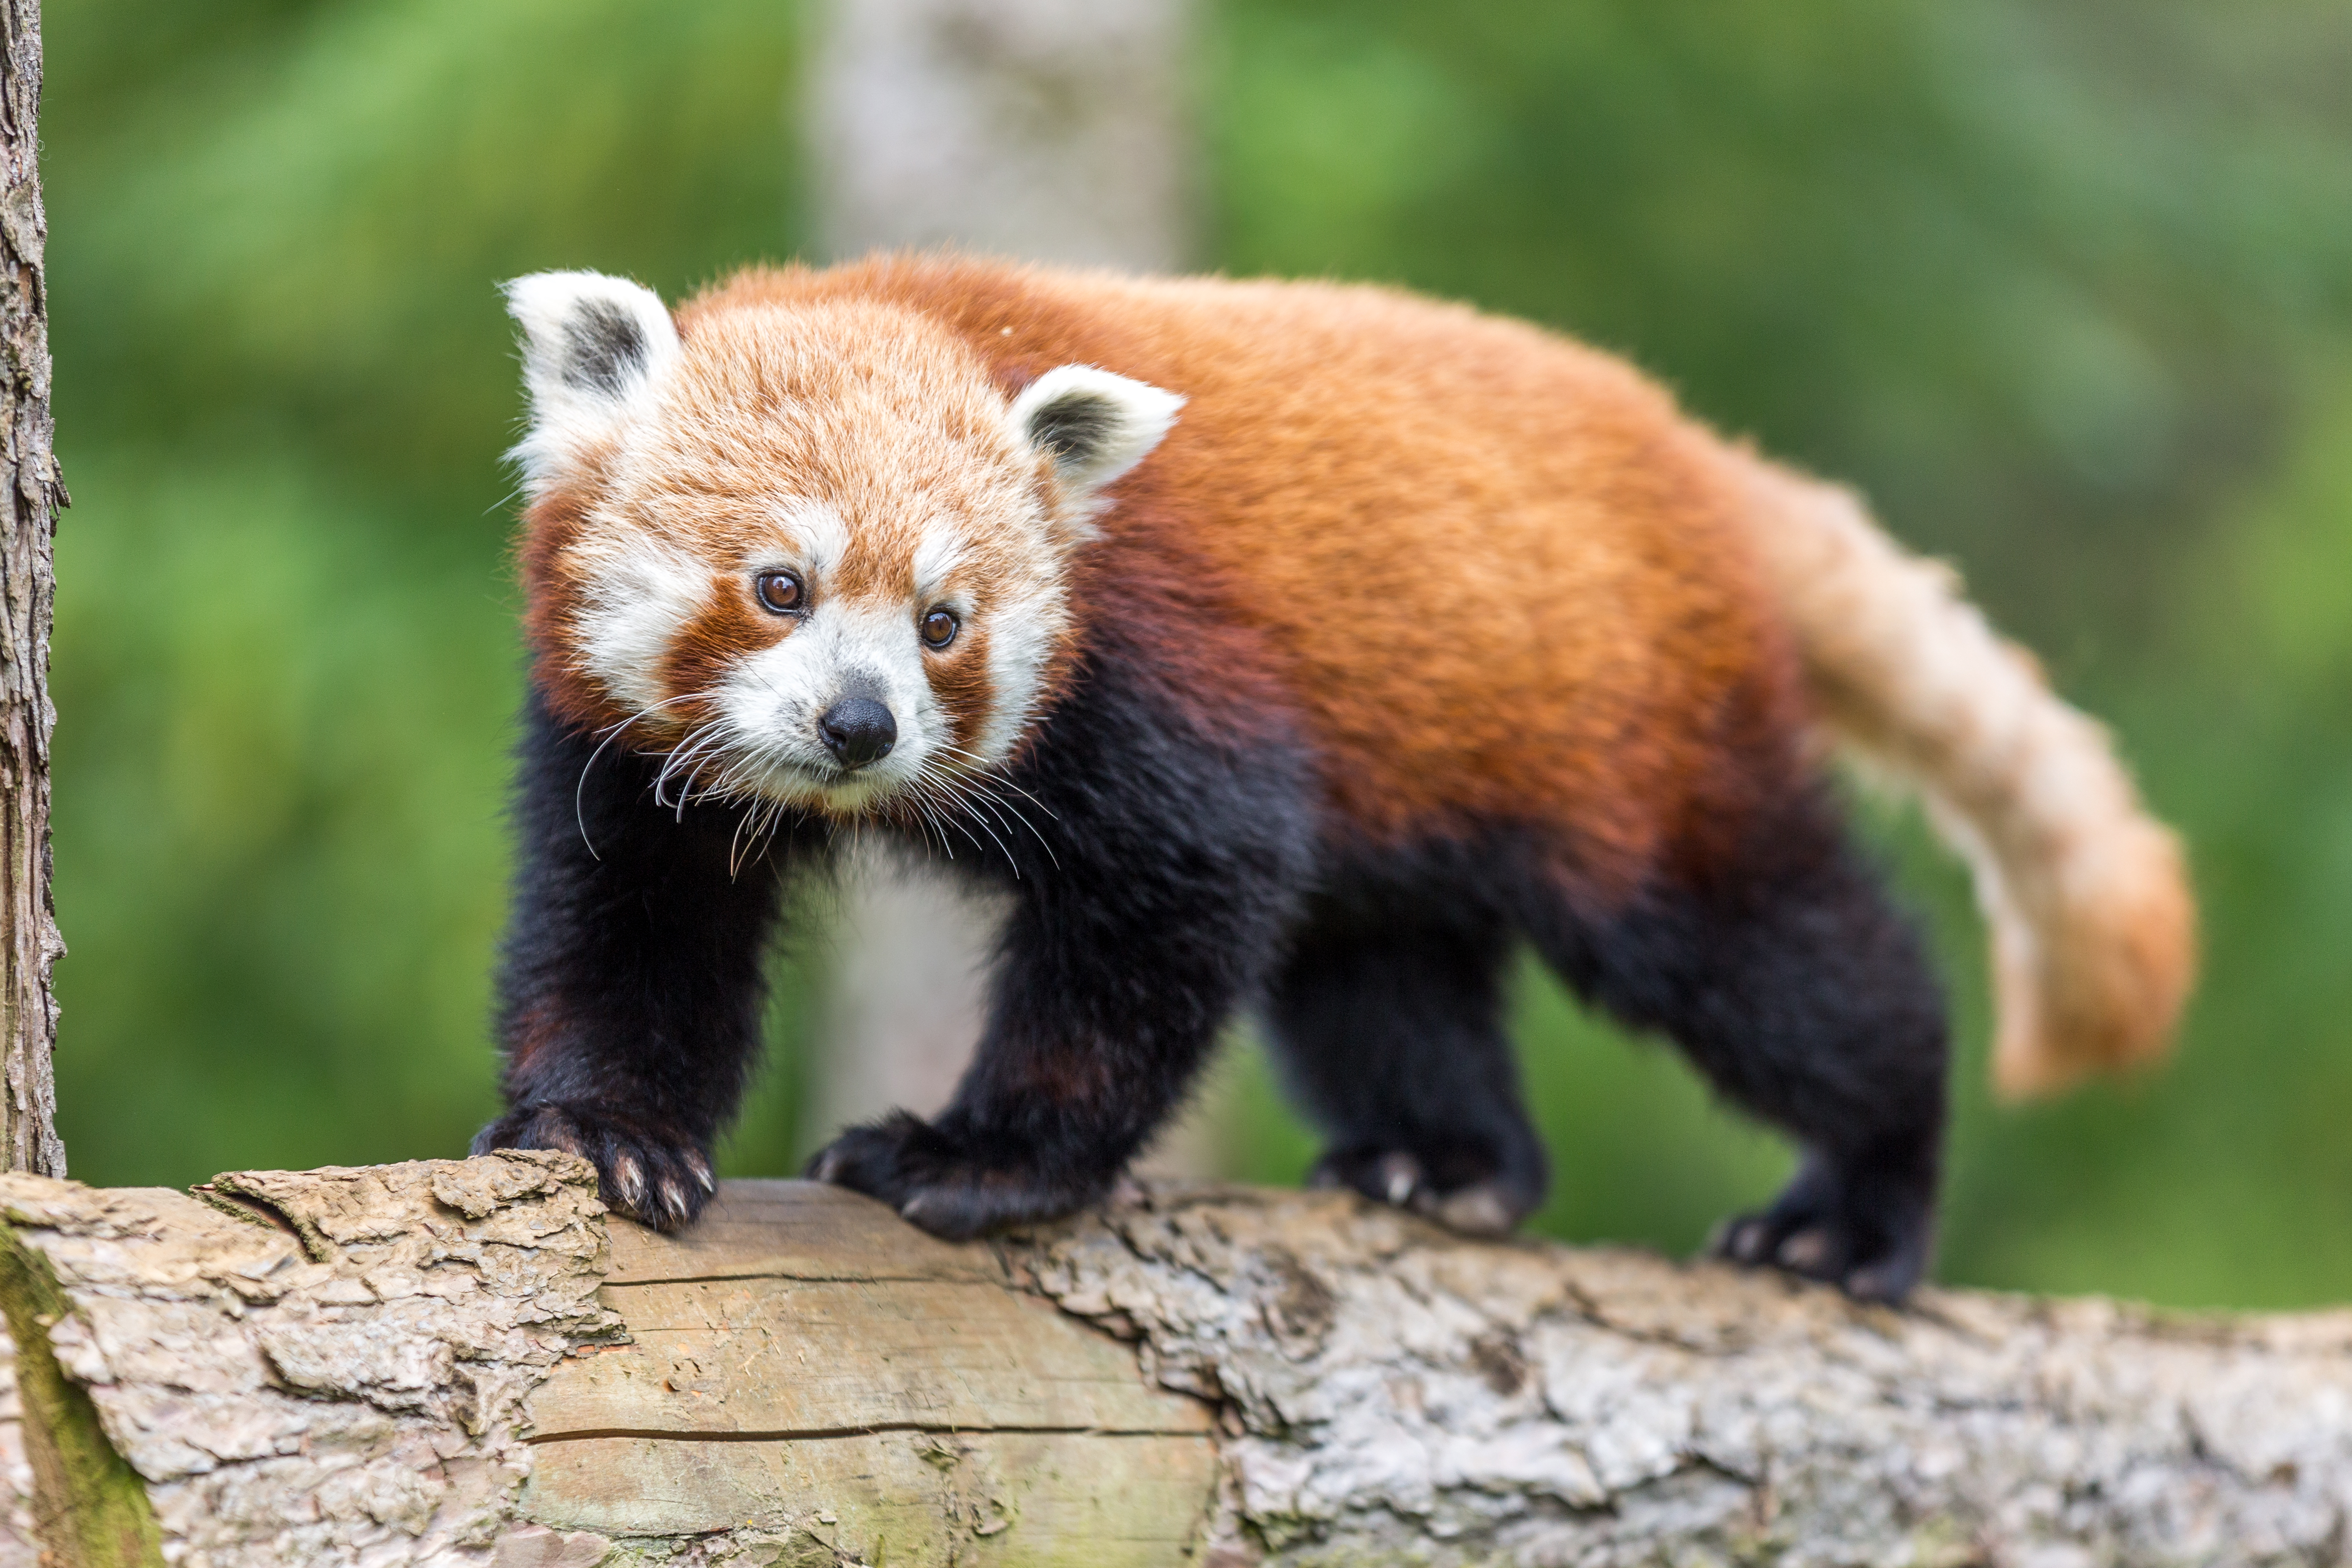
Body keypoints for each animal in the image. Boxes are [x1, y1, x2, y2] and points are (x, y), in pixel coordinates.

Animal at [468, 255, 2192, 1297]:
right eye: (781, 587)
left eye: (945, 622)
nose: (860, 725)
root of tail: (1692, 458)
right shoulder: (627, 761)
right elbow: (631, 932)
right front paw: (609, 1126)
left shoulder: (1170, 678)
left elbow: (1162, 925)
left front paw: (984, 1158)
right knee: (1384, 975)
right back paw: (1451, 1161)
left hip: (1632, 748)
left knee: (1776, 961)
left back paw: (1852, 1204)